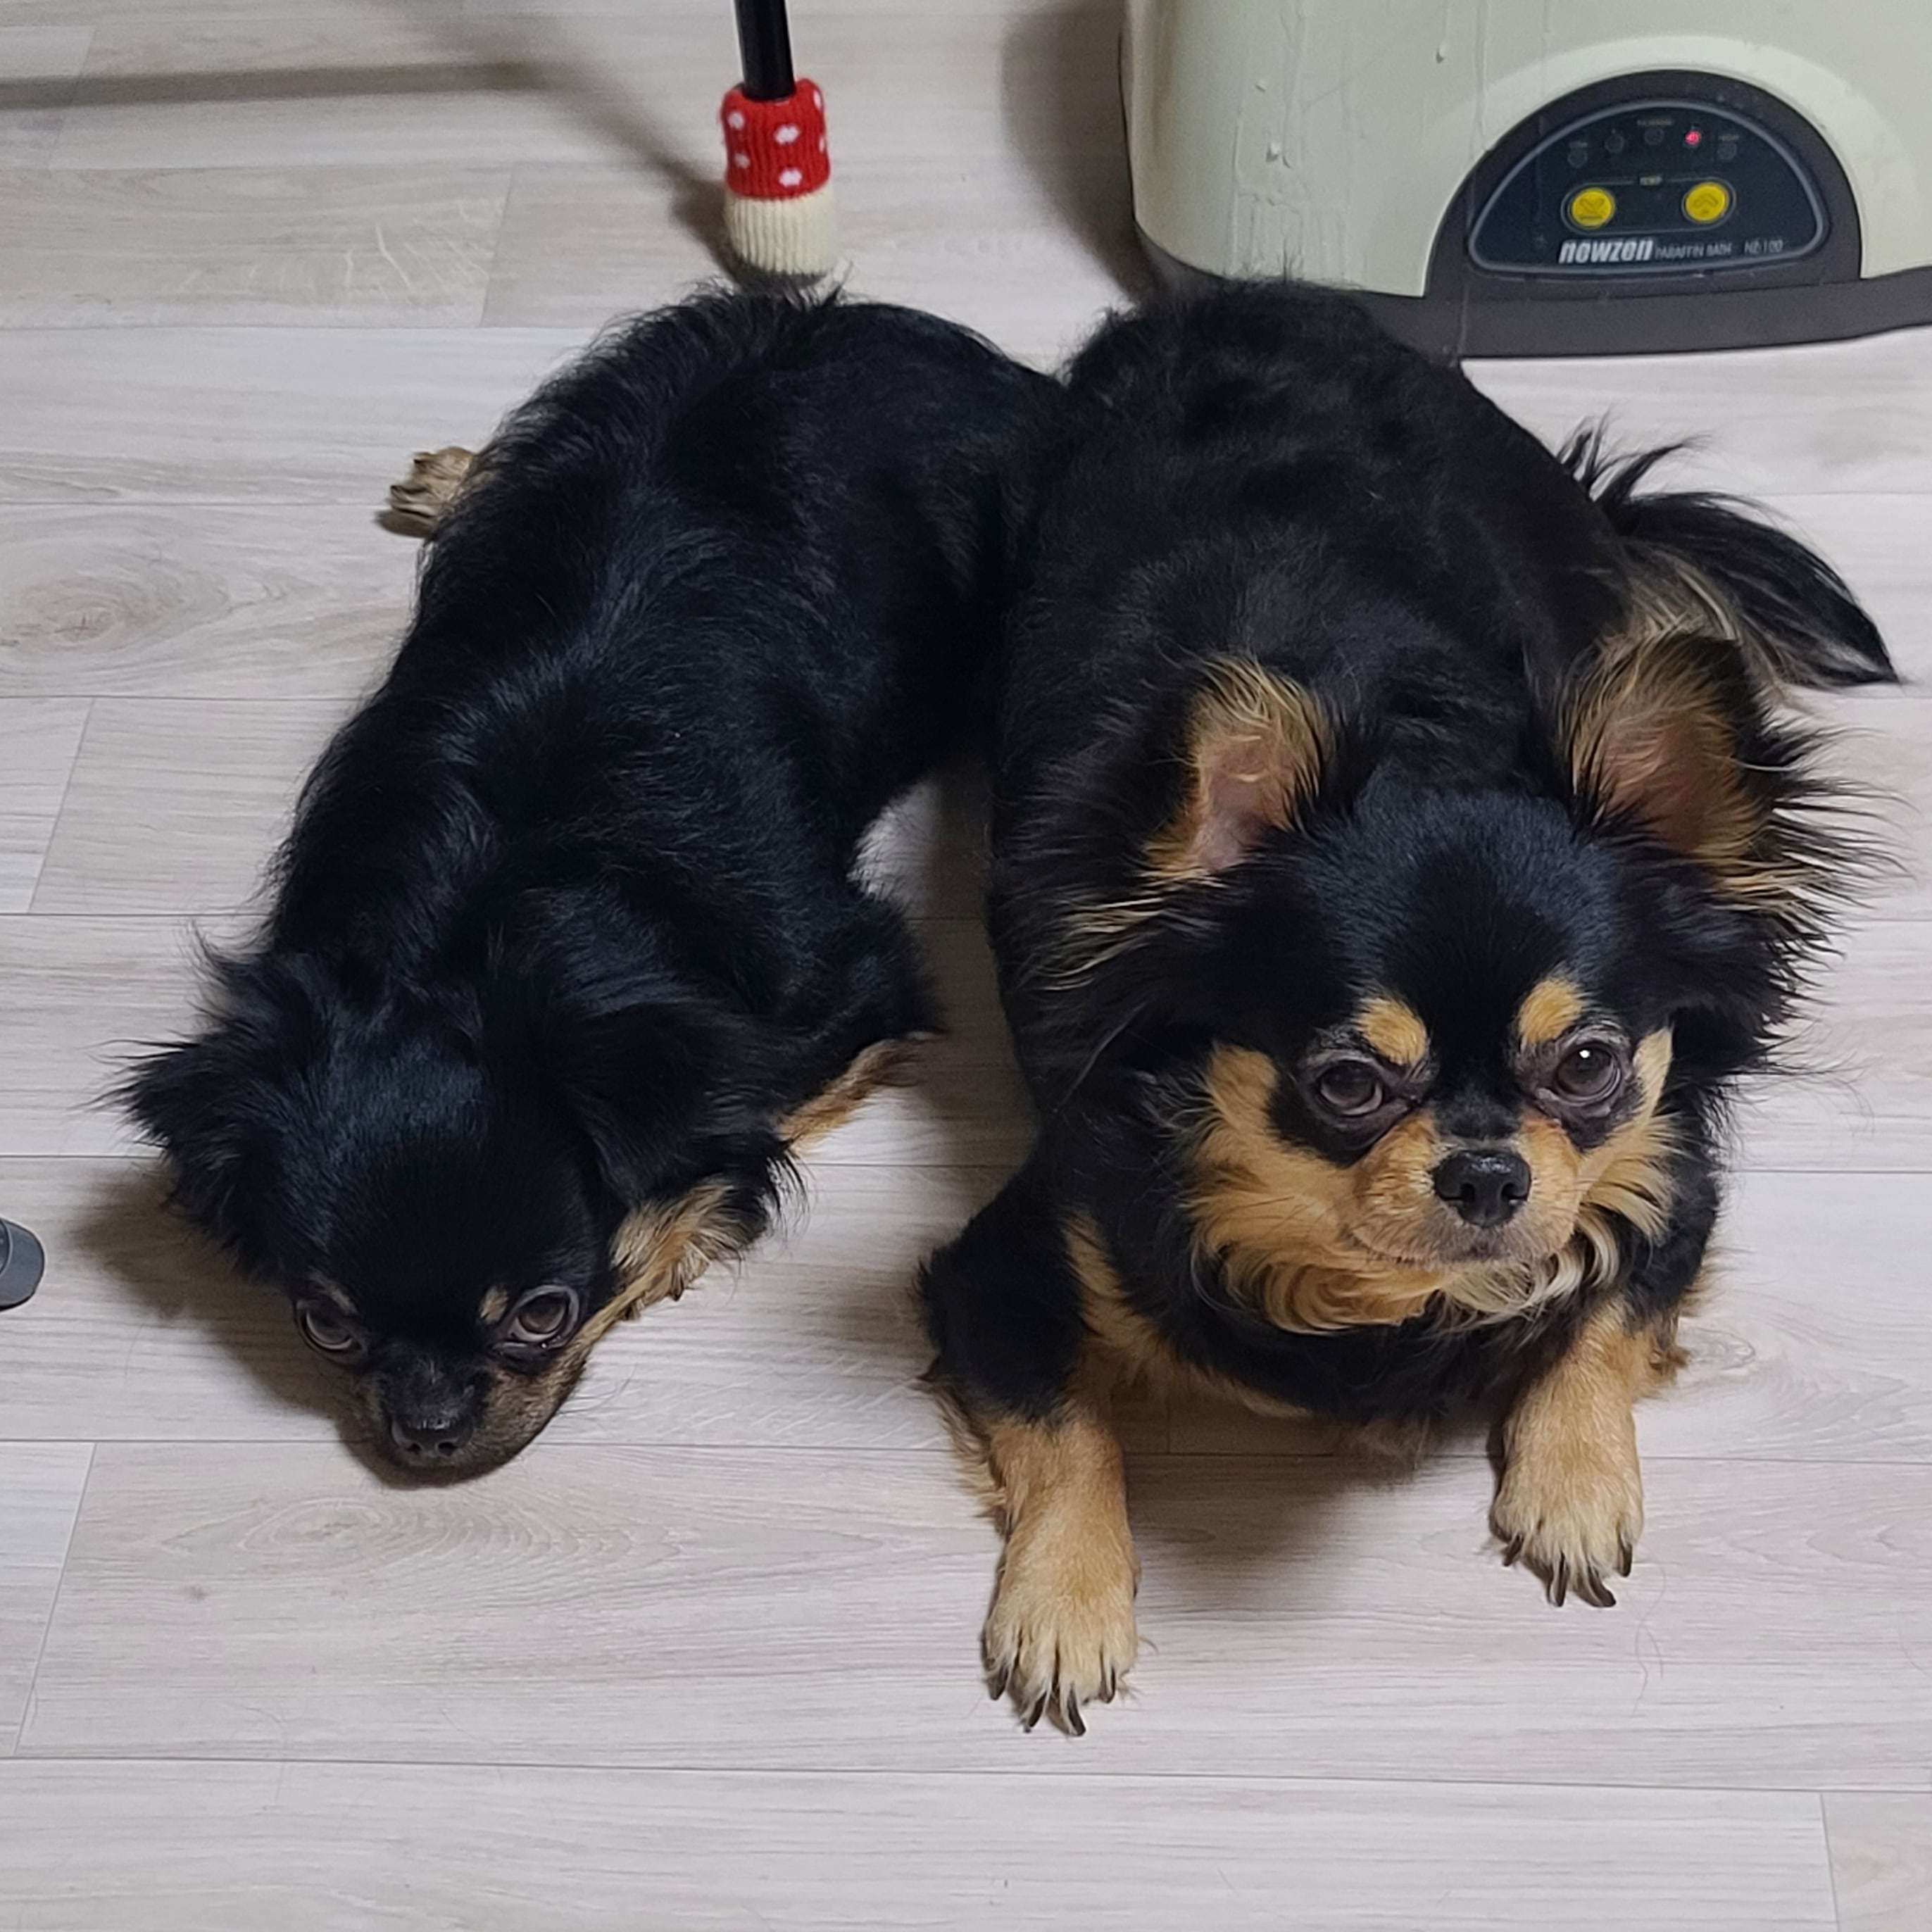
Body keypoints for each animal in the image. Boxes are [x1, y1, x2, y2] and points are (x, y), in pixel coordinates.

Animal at [128, 290, 1058, 1476]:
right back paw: (459, 477)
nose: (426, 1432)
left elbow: (738, 1124)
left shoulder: (852, 991)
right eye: (326, 1324)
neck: (482, 920)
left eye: (541, 1315)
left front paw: (668, 1237)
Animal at [919, 283, 1896, 1732]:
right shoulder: (996, 1268)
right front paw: (1063, 1603)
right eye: (1345, 1084)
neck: (1374, 1293)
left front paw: (1572, 1482)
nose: (1488, 1171)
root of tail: (1248, 294)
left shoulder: (1671, 1175)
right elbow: (1067, 1424)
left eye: (1588, 1062)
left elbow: (1609, 1314)